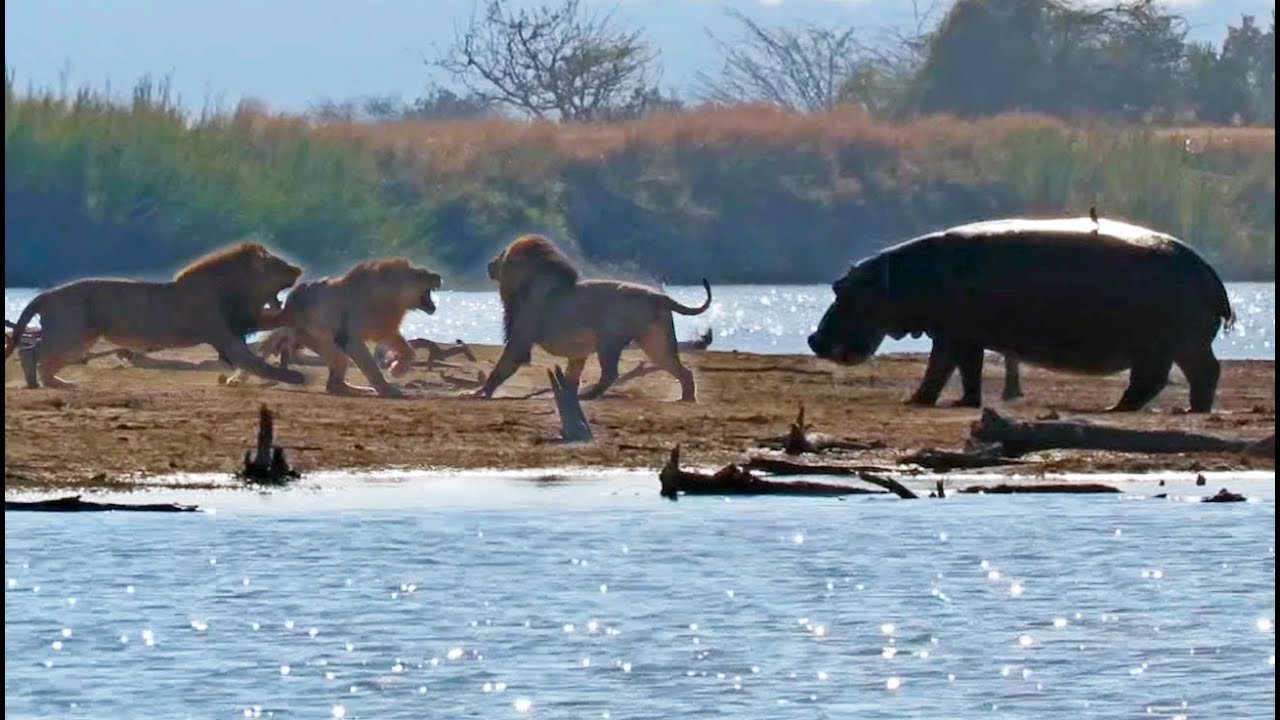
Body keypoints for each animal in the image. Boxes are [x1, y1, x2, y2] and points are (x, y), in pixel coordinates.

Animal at [4, 240, 304, 386]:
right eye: (280, 264)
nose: (299, 269)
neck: (238, 287)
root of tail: (46, 295)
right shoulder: (223, 333)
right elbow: (253, 361)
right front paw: (297, 378)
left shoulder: (246, 319)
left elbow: (276, 320)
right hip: (70, 334)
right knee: (30, 352)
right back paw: (33, 381)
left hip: (81, 340)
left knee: (47, 363)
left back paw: (60, 383)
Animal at [230, 256, 445, 394]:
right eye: (420, 274)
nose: (439, 276)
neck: (393, 300)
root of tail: (289, 307)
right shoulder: (352, 338)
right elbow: (371, 367)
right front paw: (388, 389)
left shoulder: (386, 330)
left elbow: (409, 350)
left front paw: (397, 368)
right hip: (323, 340)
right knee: (333, 378)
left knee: (333, 383)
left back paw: (359, 389)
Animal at [476, 235, 716, 404]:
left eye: (501, 256)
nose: (488, 264)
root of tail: (657, 295)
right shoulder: (578, 353)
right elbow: (571, 376)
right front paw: (565, 395)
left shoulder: (520, 338)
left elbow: (502, 367)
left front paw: (479, 392)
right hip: (656, 342)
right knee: (683, 371)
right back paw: (686, 398)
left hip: (609, 340)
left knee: (610, 373)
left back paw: (589, 395)